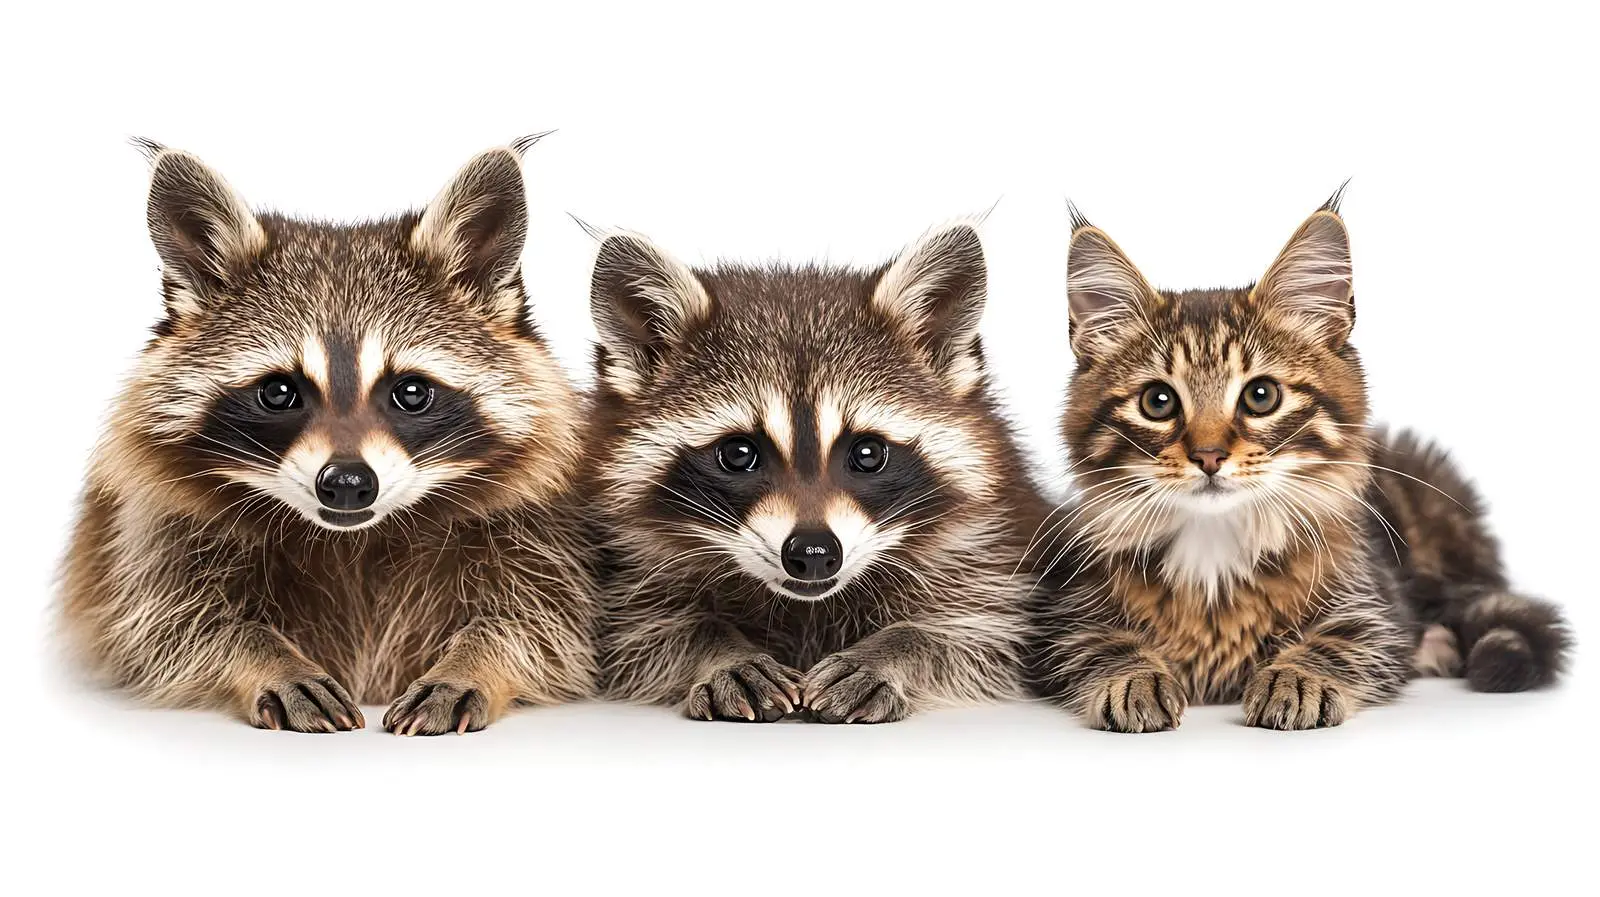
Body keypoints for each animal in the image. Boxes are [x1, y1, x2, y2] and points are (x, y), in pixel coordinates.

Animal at [59, 140, 598, 734]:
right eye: (278, 392)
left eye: (412, 392)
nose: (346, 483)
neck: (353, 539)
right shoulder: (154, 535)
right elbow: (176, 629)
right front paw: (266, 657)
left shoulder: (540, 533)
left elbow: (543, 625)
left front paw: (474, 660)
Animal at [589, 224, 1047, 723]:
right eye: (738, 454)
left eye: (868, 453)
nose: (813, 552)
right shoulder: (630, 570)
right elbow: (650, 630)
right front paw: (719, 649)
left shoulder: (987, 549)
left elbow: (974, 631)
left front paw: (891, 650)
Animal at [1027, 198, 1571, 731]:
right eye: (1158, 402)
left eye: (1260, 396)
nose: (1208, 456)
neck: (1213, 548)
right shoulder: (1066, 619)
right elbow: (1101, 645)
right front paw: (1134, 679)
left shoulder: (1376, 609)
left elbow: (1340, 642)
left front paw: (1296, 678)